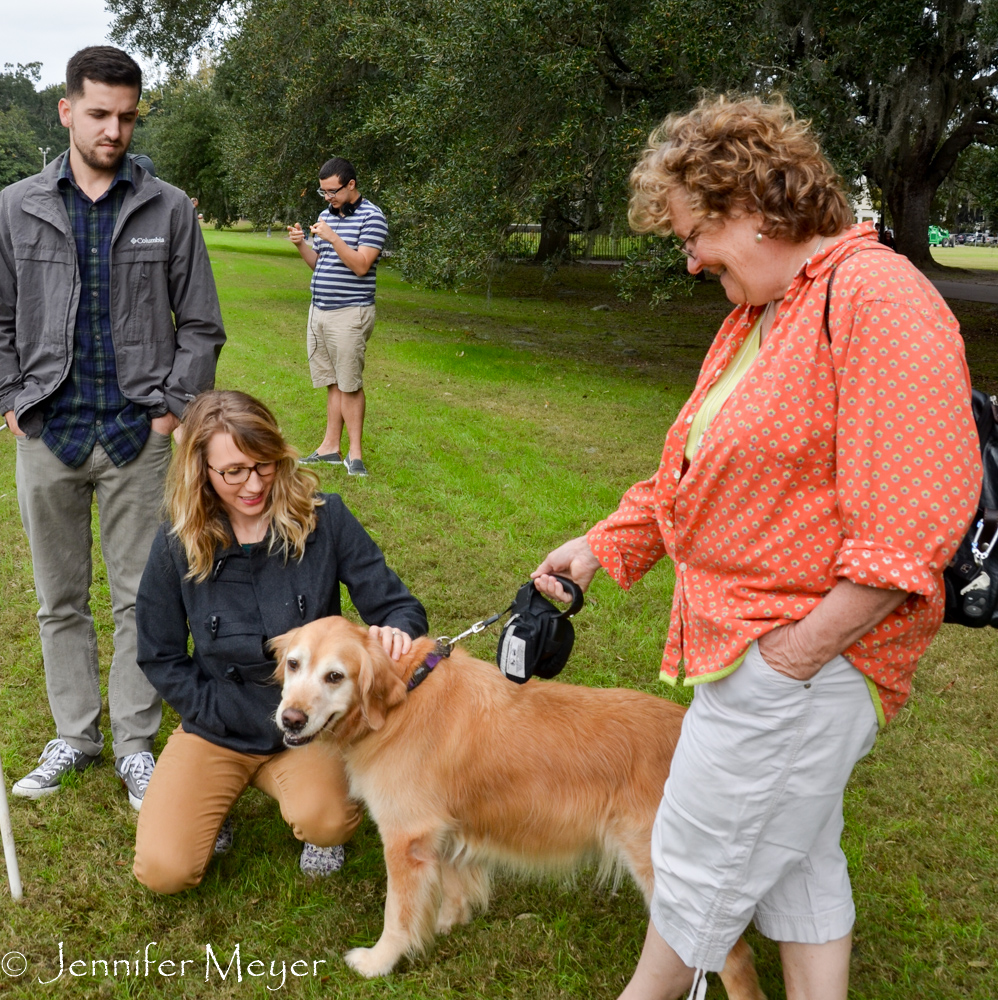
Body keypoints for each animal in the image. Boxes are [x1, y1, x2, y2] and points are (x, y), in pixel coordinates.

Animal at [274, 620, 764, 996]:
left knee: (735, 959)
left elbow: (397, 914)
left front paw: (379, 962)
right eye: (294, 664)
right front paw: (448, 922)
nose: (289, 719)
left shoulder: (405, 837)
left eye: (335, 676)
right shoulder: (444, 829)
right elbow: (453, 884)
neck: (403, 697)